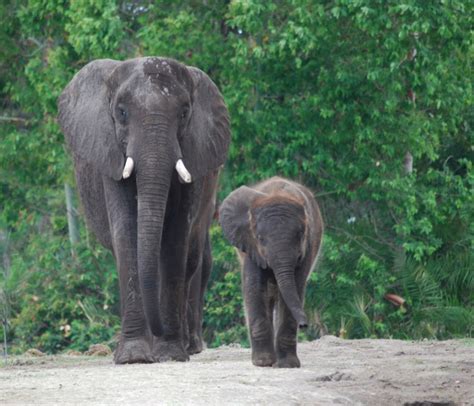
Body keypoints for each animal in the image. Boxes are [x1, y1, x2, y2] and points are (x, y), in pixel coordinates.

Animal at [58, 57, 231, 364]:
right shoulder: (112, 155)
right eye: (122, 112)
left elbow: (175, 237)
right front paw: (134, 357)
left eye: (184, 113)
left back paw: (189, 346)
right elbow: (127, 233)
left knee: (193, 258)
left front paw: (170, 354)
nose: (158, 328)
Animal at [220, 176, 324, 366]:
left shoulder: (308, 247)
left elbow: (296, 286)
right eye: (260, 238)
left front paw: (288, 365)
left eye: (300, 235)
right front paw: (263, 362)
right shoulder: (250, 244)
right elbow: (253, 287)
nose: (304, 325)